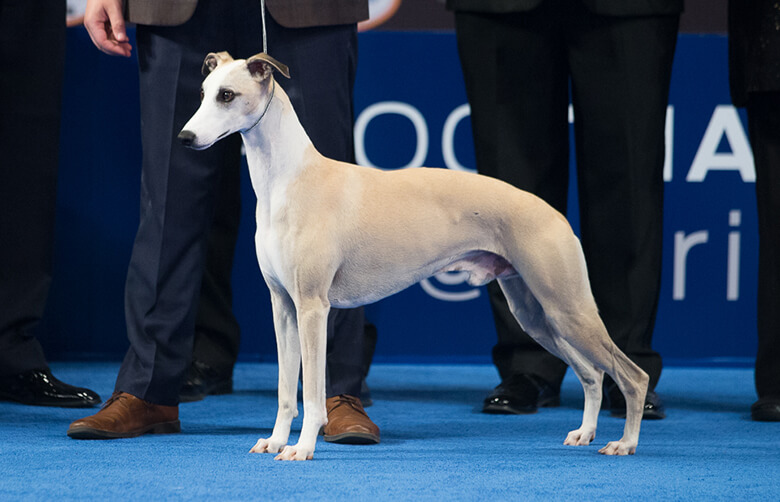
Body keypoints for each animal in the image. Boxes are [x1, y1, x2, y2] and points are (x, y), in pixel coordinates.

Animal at [180, 53, 648, 460]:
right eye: (202, 91)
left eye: (227, 95)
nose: (185, 138)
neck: (291, 179)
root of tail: (554, 213)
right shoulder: (283, 306)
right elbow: (284, 391)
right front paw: (276, 441)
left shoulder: (314, 307)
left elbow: (311, 392)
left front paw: (302, 448)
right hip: (537, 315)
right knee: (592, 373)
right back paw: (585, 433)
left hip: (567, 308)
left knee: (631, 374)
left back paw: (624, 443)